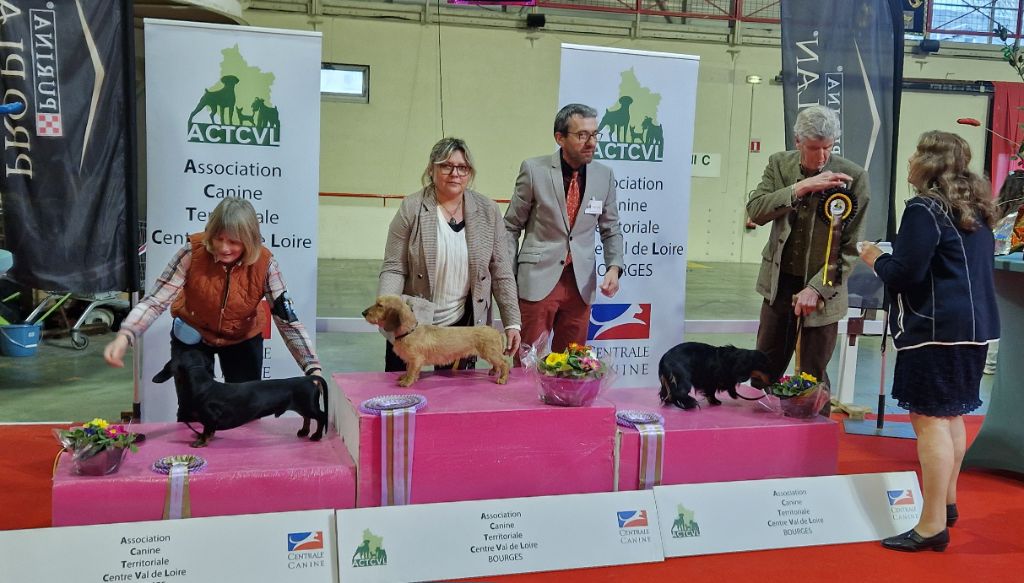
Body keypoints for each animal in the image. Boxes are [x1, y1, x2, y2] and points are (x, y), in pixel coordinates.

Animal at [153, 347, 328, 448]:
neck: (202, 385)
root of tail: (309, 379)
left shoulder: (210, 417)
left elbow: (207, 431)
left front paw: (201, 442)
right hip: (303, 407)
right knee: (307, 418)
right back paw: (304, 432)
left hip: (309, 406)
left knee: (321, 417)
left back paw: (316, 436)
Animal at [362, 295, 510, 387]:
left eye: (379, 305)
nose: (363, 313)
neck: (410, 331)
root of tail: (496, 331)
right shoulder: (411, 361)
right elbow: (409, 370)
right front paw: (405, 377)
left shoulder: (416, 359)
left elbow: (411, 371)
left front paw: (407, 382)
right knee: (498, 364)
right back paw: (493, 371)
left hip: (491, 354)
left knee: (504, 363)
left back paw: (502, 378)